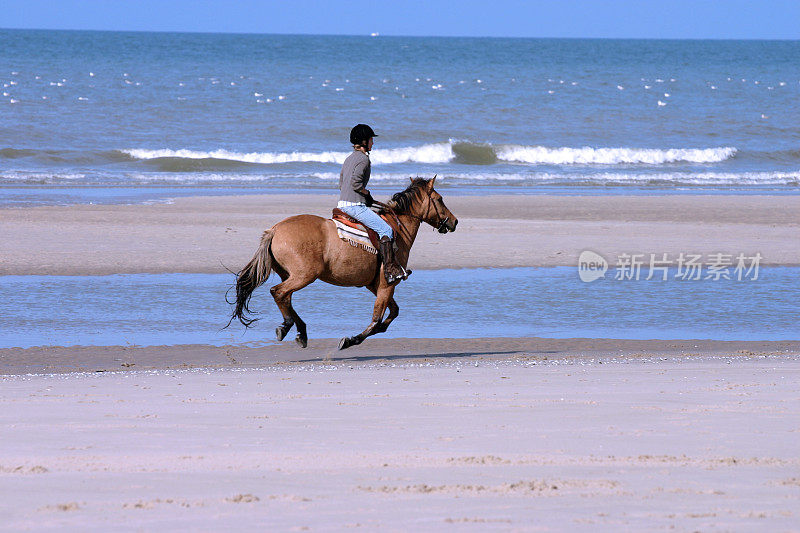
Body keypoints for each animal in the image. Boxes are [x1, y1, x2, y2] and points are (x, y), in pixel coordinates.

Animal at [228, 176, 460, 350]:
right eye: (439, 199)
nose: (454, 221)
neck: (396, 229)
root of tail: (275, 230)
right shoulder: (387, 284)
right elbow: (377, 319)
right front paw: (351, 340)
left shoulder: (376, 285)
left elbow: (392, 313)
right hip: (304, 276)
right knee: (278, 292)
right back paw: (288, 326)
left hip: (291, 275)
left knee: (286, 298)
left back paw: (300, 330)